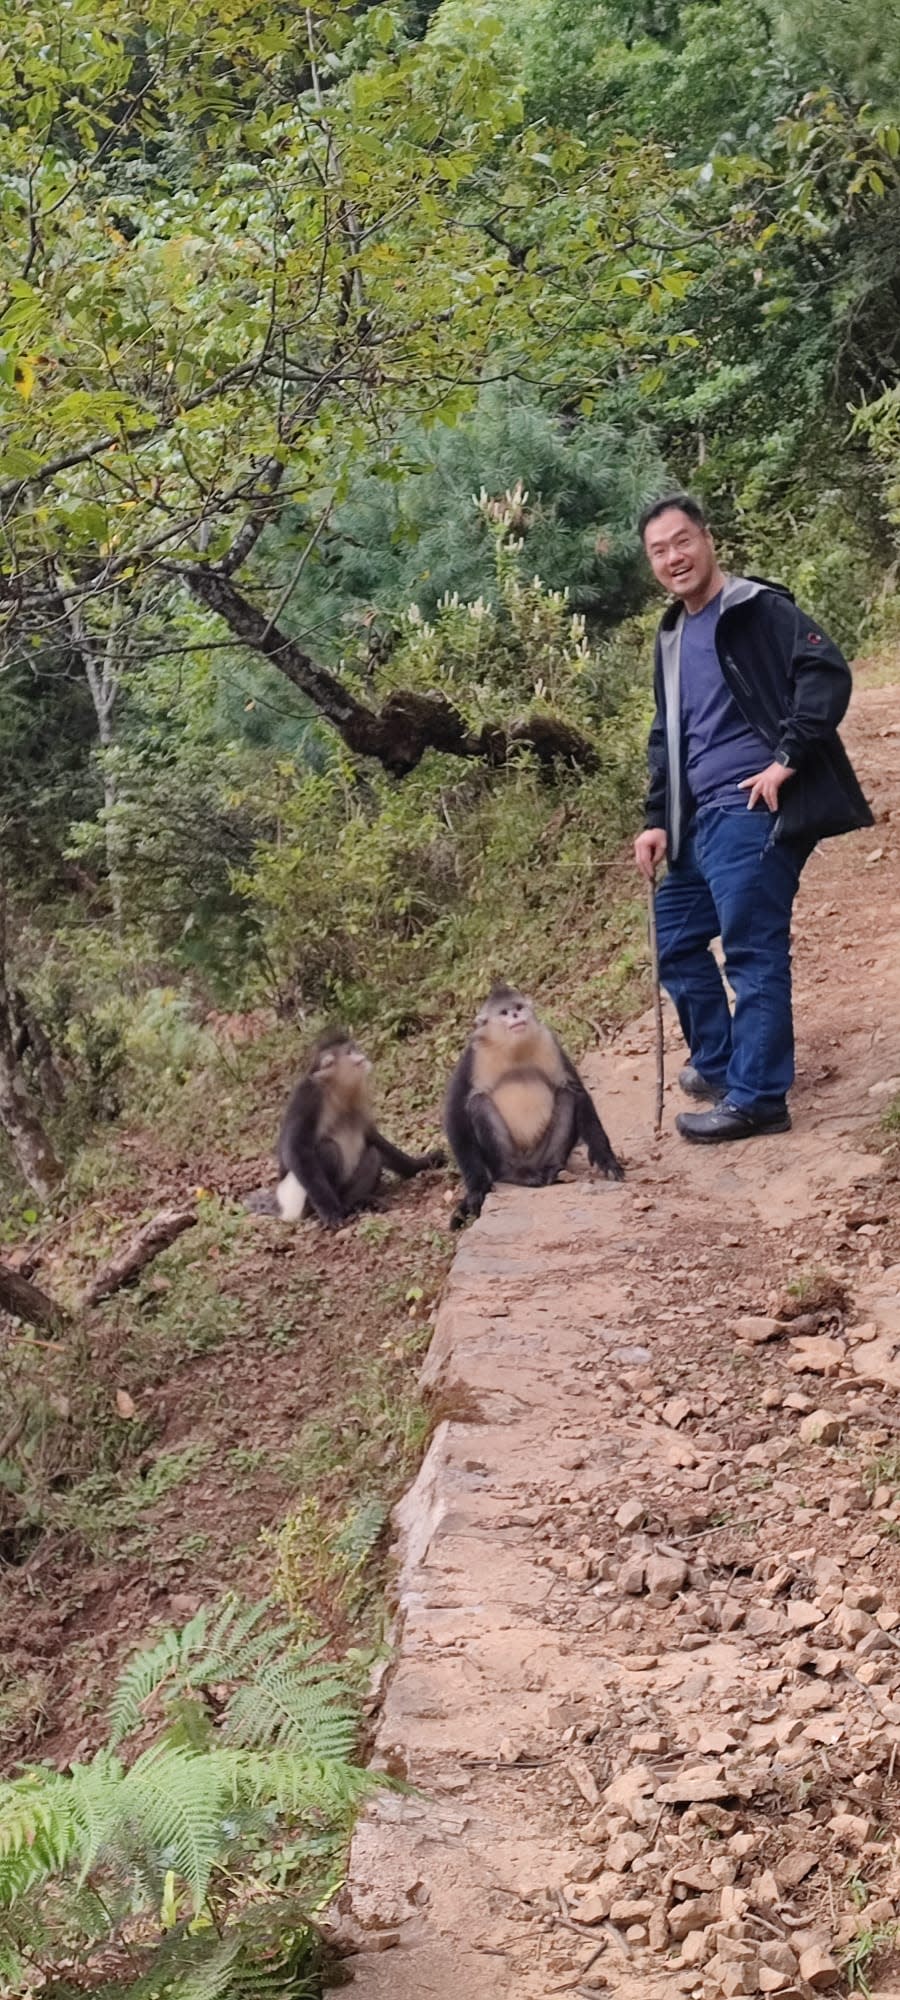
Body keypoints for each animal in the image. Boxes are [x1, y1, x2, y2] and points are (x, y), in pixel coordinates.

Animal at [274, 1024, 442, 1224]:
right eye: (349, 1052)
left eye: (354, 1049)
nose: (361, 1056)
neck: (335, 1088)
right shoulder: (308, 1097)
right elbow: (296, 1149)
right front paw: (330, 1210)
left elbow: (372, 1137)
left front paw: (422, 1164)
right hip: (301, 1199)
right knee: (327, 1149)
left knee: (373, 1154)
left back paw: (355, 1203)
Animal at [446, 980, 624, 1224]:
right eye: (504, 1012)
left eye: (518, 1007)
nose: (515, 1016)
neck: (514, 1049)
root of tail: (531, 1165)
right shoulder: (472, 1057)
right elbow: (455, 1113)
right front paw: (476, 1190)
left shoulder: (549, 1041)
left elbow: (576, 1090)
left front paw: (606, 1158)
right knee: (478, 1102)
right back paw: (514, 1174)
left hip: (542, 1153)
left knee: (566, 1093)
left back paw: (553, 1170)